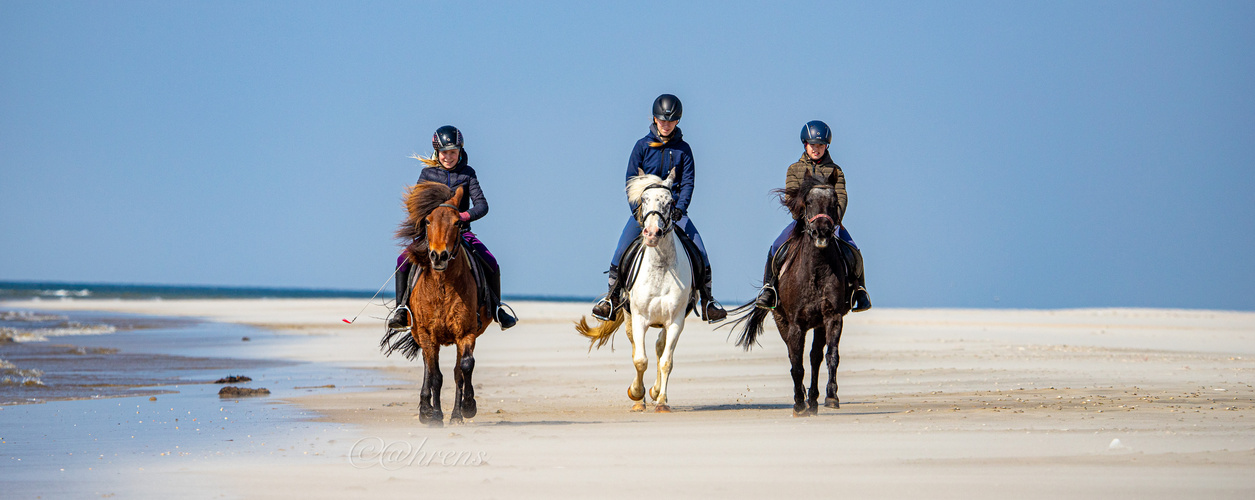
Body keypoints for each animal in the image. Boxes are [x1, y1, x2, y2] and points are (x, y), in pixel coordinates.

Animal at [376, 182, 489, 424]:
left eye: (457, 222)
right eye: (427, 221)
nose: (439, 256)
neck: (443, 285)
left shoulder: (466, 332)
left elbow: (464, 368)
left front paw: (466, 408)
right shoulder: (428, 334)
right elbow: (435, 375)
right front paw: (435, 415)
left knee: (456, 372)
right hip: (422, 336)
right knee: (428, 370)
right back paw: (426, 410)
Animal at [574, 168, 697, 409]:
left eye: (670, 201)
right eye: (644, 199)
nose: (651, 233)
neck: (661, 268)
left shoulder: (676, 321)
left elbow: (666, 361)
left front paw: (661, 401)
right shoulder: (639, 319)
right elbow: (640, 360)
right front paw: (636, 394)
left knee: (660, 348)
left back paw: (657, 392)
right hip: (630, 317)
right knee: (636, 349)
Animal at [727, 173, 853, 417]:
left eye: (834, 202)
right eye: (809, 202)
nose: (822, 232)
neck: (816, 269)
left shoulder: (832, 318)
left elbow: (831, 356)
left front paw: (831, 396)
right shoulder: (795, 324)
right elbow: (796, 363)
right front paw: (798, 404)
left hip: (819, 325)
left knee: (815, 358)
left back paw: (813, 399)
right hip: (781, 321)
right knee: (795, 357)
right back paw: (803, 398)